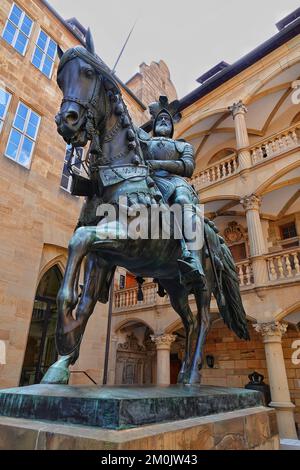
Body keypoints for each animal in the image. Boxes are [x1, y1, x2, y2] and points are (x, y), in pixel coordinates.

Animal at [41, 32, 248, 386]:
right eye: (59, 78)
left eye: (88, 73)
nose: (67, 122)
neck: (120, 177)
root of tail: (216, 237)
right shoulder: (102, 256)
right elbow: (85, 301)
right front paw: (62, 359)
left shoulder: (128, 240)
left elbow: (78, 241)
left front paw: (64, 331)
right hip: (176, 285)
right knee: (190, 321)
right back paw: (182, 374)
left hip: (203, 282)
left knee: (205, 320)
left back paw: (193, 375)